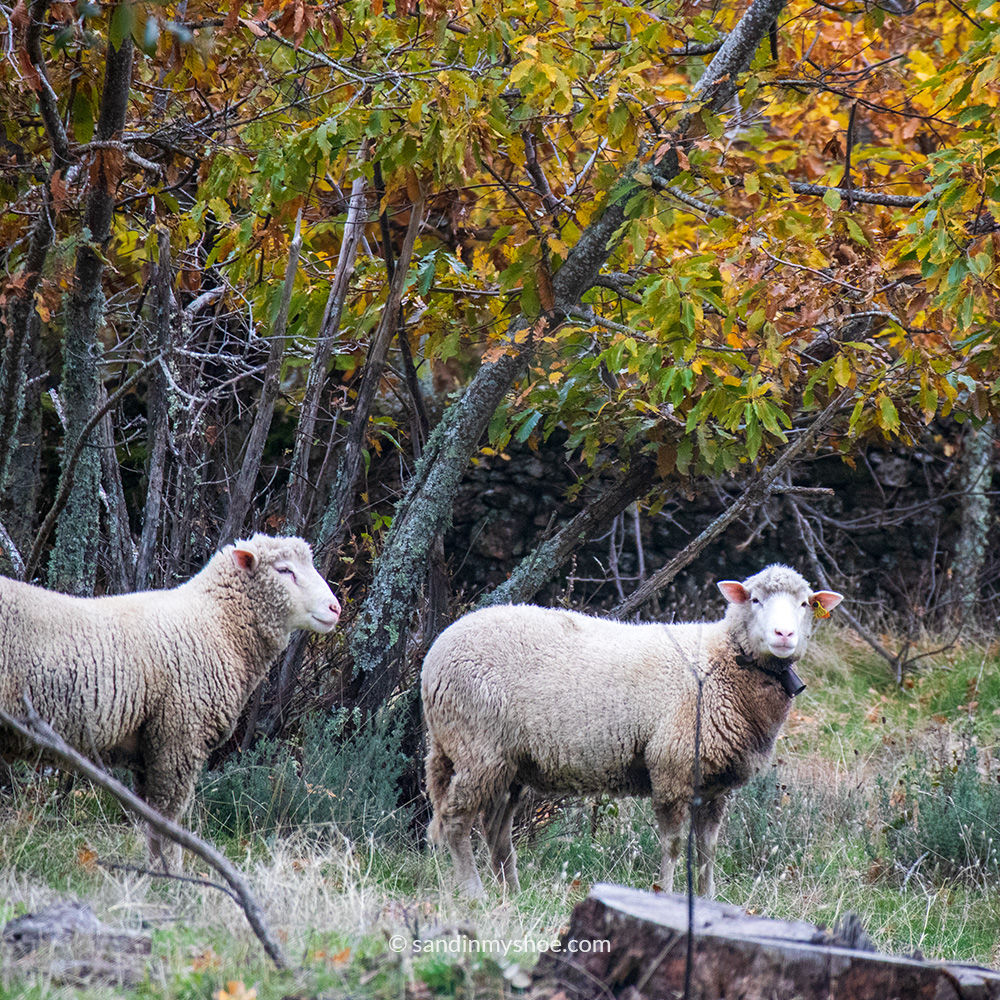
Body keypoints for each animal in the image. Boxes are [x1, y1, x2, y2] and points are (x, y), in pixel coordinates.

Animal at [0, 534, 341, 869]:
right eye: (284, 570)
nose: (335, 608)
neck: (217, 623)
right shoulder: (178, 736)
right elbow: (167, 818)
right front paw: (170, 875)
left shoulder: (147, 749)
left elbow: (151, 818)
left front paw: (154, 872)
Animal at [421, 564, 842, 899]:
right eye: (755, 599)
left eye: (805, 604)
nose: (784, 635)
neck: (722, 661)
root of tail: (436, 650)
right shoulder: (672, 767)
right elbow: (673, 845)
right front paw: (666, 895)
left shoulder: (714, 784)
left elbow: (708, 849)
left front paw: (710, 901)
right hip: (478, 745)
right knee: (456, 821)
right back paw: (475, 893)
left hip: (508, 761)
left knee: (496, 828)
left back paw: (512, 892)